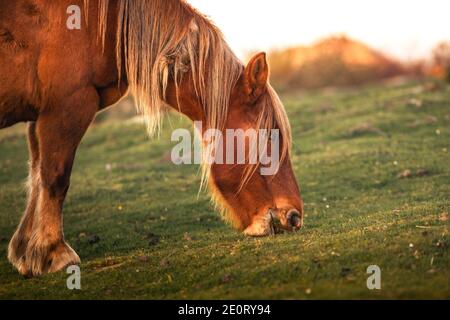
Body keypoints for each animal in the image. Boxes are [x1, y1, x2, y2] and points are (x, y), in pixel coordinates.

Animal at [0, 0, 304, 276]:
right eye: (268, 137)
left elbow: (36, 176)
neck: (101, 26)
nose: (294, 217)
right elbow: (55, 178)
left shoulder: (39, 115)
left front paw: (27, 253)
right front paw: (55, 251)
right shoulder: (67, 106)